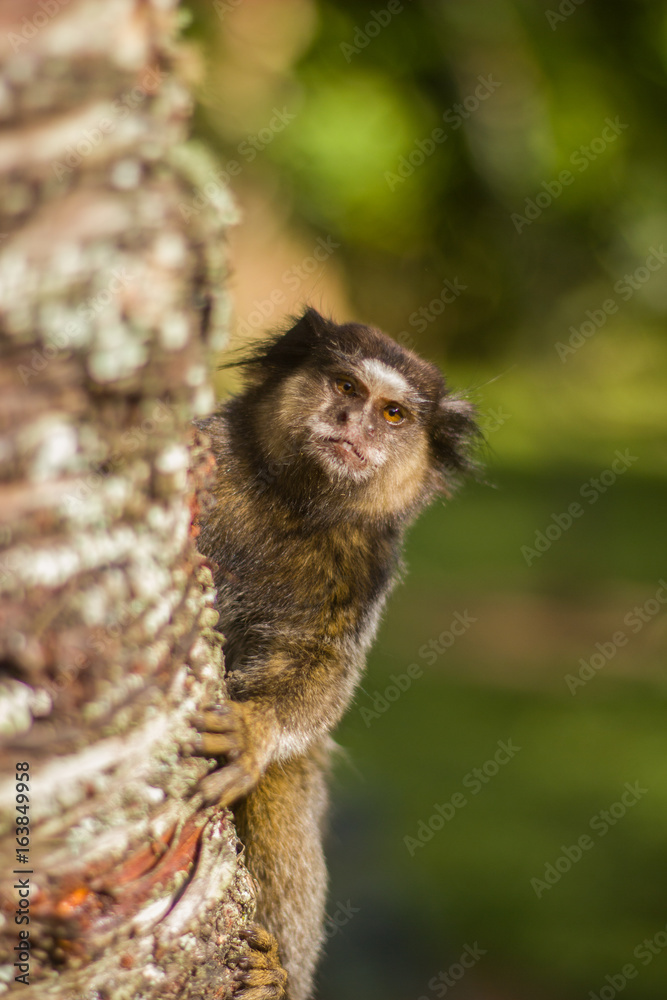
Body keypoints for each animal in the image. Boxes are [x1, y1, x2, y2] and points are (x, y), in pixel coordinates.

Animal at [192, 307, 478, 1000]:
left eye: (394, 414)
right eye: (347, 388)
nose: (356, 424)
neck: (290, 502)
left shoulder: (365, 569)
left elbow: (321, 671)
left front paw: (255, 727)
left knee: (280, 794)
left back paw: (274, 974)